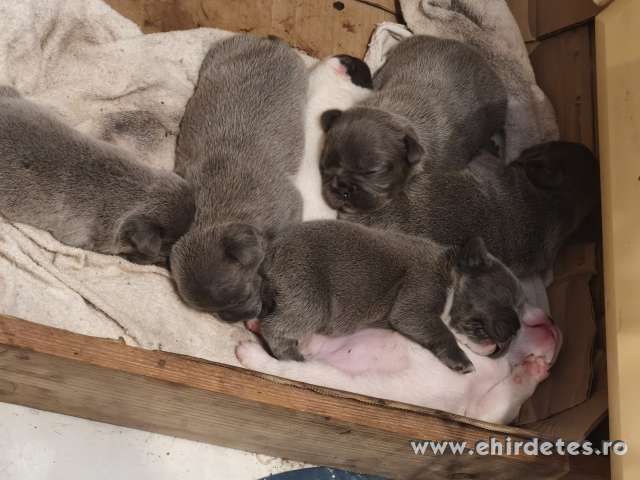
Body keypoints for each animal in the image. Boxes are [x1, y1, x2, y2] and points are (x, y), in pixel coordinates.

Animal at [171, 35, 307, 322]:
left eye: (242, 294)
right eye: (215, 313)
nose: (237, 318)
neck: (219, 213)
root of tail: (269, 40)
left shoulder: (291, 207)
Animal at [258, 220, 532, 374]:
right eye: (507, 297)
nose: (519, 329)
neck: (451, 274)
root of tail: (272, 250)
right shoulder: (418, 300)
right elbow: (442, 332)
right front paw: (461, 361)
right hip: (308, 294)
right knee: (275, 327)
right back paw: (292, 357)